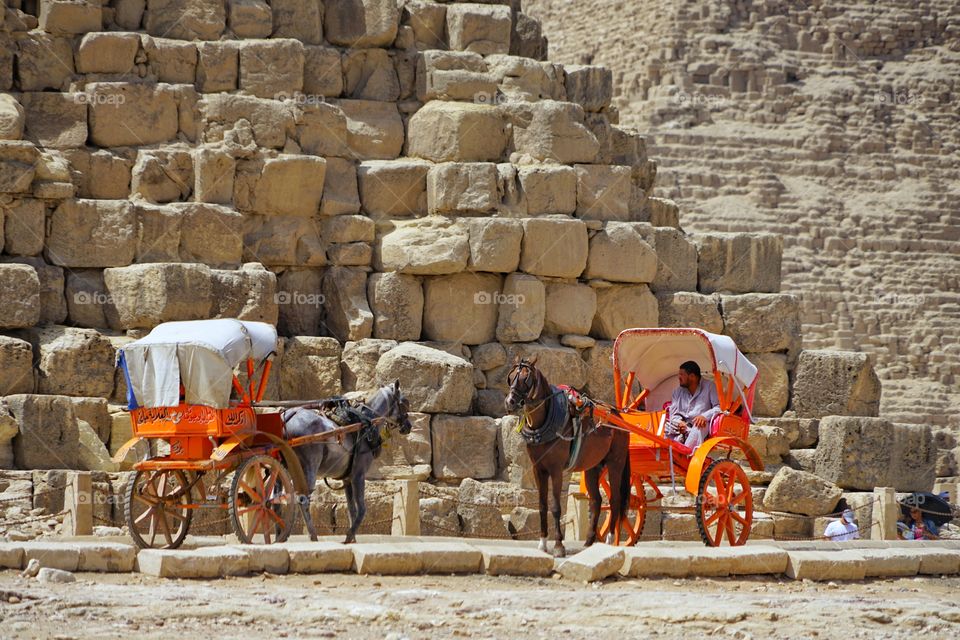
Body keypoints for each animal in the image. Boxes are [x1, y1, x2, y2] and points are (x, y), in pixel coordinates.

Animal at [282, 380, 413, 544]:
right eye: (404, 403)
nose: (408, 426)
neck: (366, 422)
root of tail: (291, 414)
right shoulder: (358, 475)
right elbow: (362, 509)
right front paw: (349, 535)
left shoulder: (347, 479)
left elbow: (352, 509)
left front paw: (353, 539)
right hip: (308, 467)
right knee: (302, 499)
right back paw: (312, 536)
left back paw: (283, 534)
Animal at [505, 357, 631, 558]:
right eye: (510, 378)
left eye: (526, 379)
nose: (510, 402)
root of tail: (616, 413)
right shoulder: (538, 469)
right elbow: (542, 505)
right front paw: (543, 543)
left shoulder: (556, 470)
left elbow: (556, 507)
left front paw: (558, 546)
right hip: (592, 467)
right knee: (596, 501)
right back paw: (588, 543)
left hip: (615, 464)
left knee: (615, 500)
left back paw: (610, 540)